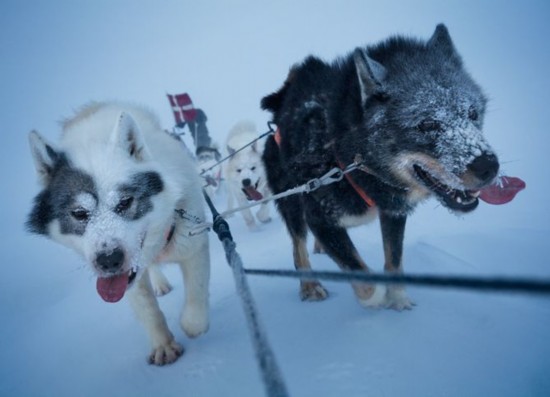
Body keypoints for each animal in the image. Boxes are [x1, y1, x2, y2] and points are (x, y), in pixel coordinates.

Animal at [25, 102, 212, 366]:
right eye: (79, 213)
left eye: (125, 202)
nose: (108, 260)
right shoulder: (129, 282)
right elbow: (147, 309)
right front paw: (163, 344)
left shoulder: (193, 244)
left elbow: (196, 296)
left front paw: (192, 323)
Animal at [264, 25, 500, 310]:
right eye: (427, 124)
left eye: (472, 114)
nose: (490, 166)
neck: (345, 160)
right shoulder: (320, 220)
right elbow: (364, 279)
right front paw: (378, 300)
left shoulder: (394, 212)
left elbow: (394, 260)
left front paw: (398, 299)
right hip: (292, 202)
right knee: (298, 248)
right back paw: (310, 285)